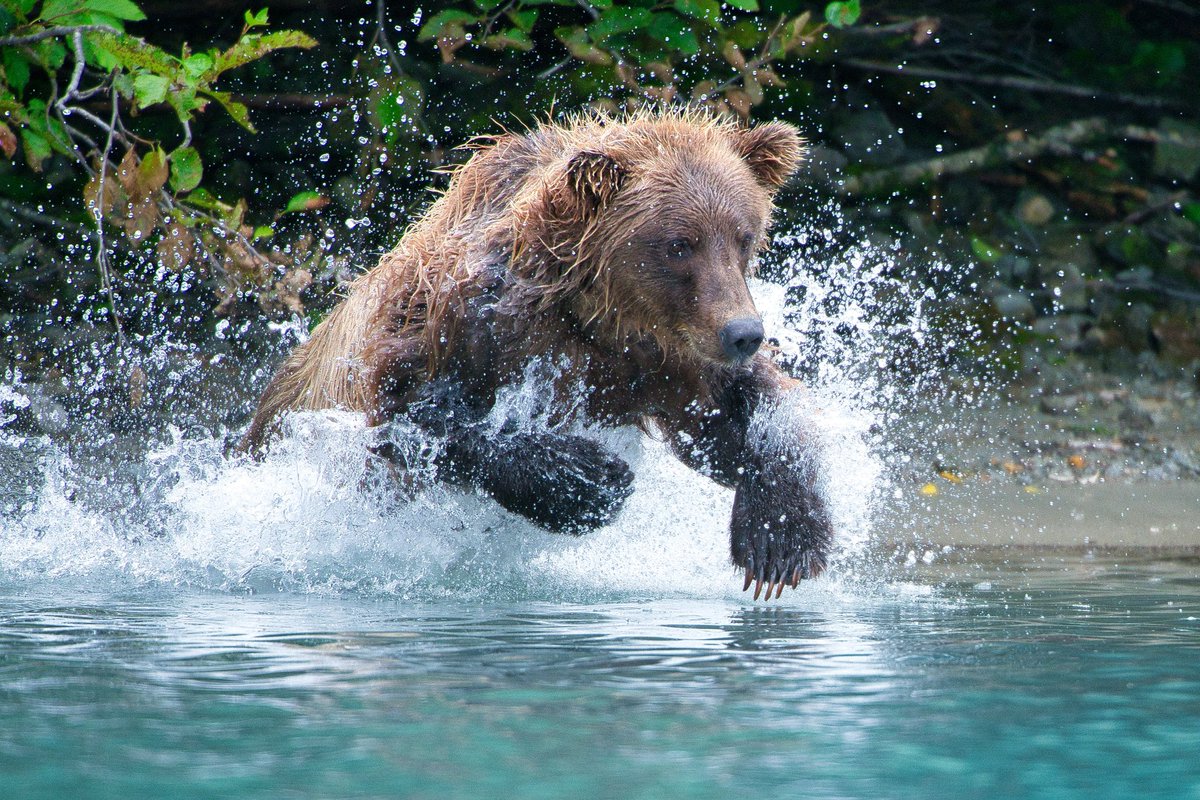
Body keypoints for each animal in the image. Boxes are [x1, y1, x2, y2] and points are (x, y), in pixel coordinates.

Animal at [238, 110, 830, 599]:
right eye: (679, 243)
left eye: (743, 236)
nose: (745, 333)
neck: (594, 311)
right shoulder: (464, 323)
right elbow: (414, 417)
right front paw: (588, 479)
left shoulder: (666, 355)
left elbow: (739, 422)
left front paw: (780, 538)